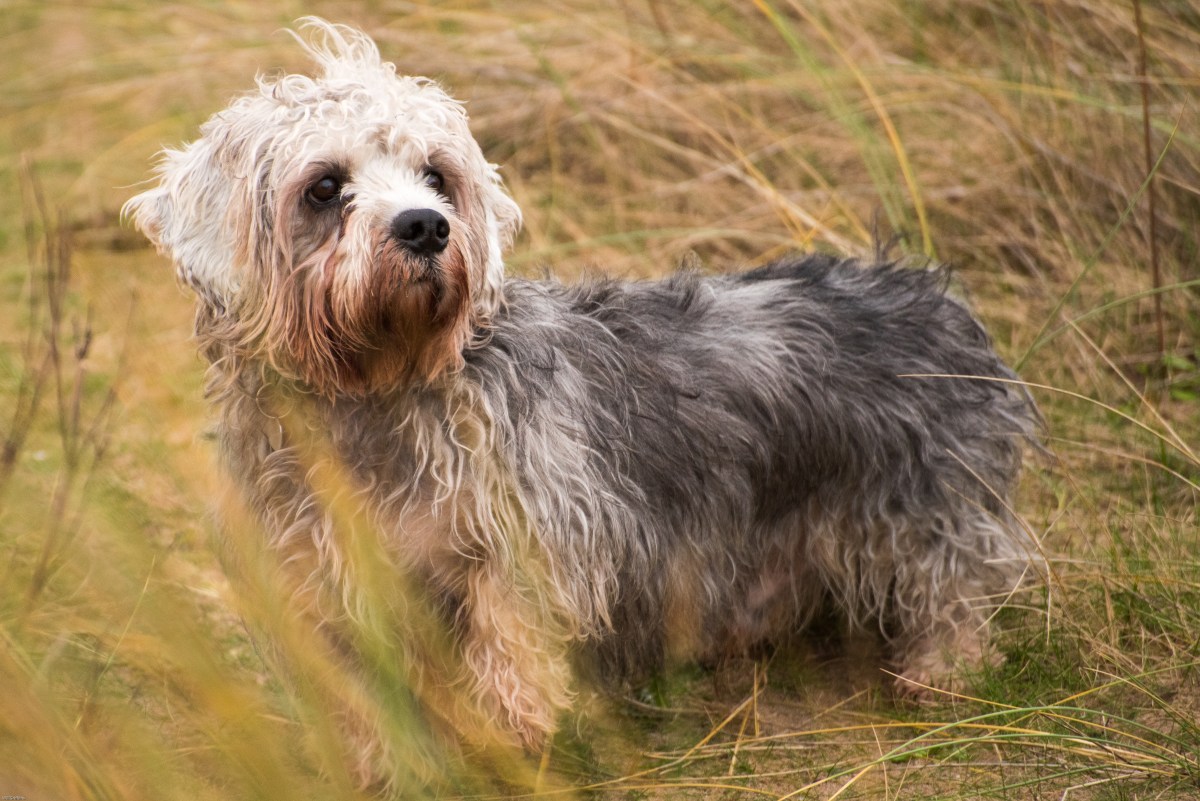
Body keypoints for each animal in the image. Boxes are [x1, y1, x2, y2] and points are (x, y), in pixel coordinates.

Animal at [124, 18, 1041, 786]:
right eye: (323, 187)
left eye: (436, 175)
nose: (425, 227)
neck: (375, 396)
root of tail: (928, 291)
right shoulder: (326, 580)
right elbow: (364, 698)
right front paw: (384, 767)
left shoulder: (519, 552)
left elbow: (511, 657)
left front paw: (512, 746)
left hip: (928, 515)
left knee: (954, 598)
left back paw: (937, 679)